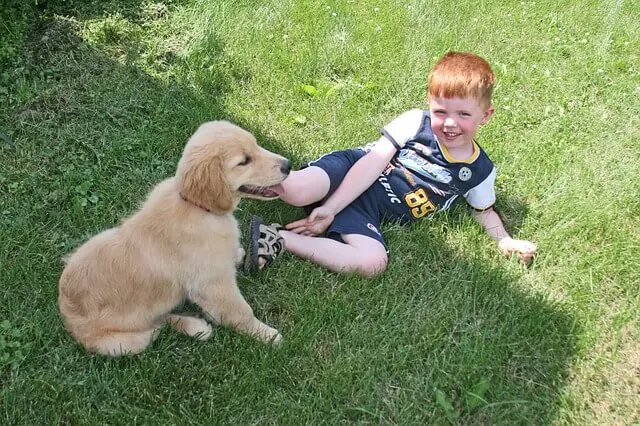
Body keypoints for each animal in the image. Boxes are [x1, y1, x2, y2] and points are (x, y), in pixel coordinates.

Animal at [58, 120, 292, 356]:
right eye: (244, 161)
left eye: (256, 144)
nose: (288, 165)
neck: (197, 207)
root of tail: (66, 315)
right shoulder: (214, 287)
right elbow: (240, 312)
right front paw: (267, 335)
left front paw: (236, 254)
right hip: (127, 342)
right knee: (157, 326)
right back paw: (195, 327)